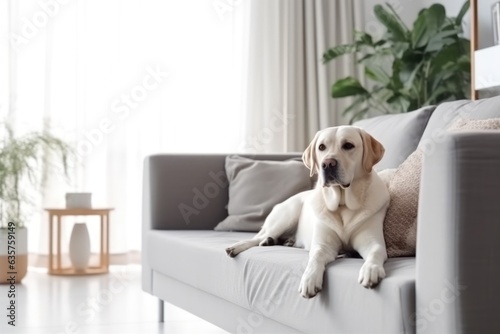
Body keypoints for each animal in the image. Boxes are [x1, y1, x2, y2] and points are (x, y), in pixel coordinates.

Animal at [227, 125, 390, 298]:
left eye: (348, 145)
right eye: (321, 147)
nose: (328, 163)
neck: (342, 203)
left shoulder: (372, 242)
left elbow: (375, 252)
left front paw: (371, 270)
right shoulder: (322, 245)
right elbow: (316, 255)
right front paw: (310, 278)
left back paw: (275, 241)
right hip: (287, 215)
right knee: (257, 237)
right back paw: (239, 246)